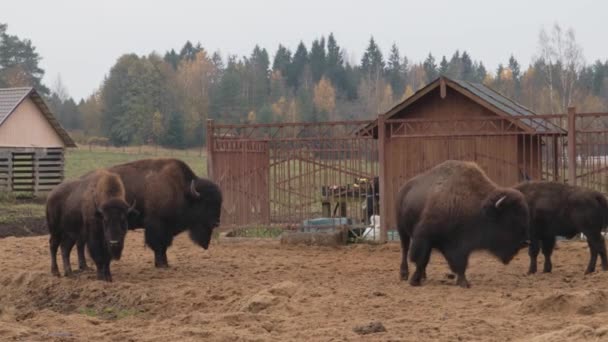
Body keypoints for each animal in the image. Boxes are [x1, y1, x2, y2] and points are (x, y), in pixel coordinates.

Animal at [396, 161, 528, 288]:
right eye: (510, 220)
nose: (523, 243)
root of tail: (404, 188)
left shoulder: (461, 245)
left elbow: (460, 264)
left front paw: (464, 282)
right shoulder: (425, 237)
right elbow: (421, 259)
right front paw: (414, 281)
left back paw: (423, 276)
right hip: (402, 229)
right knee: (405, 249)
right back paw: (404, 274)